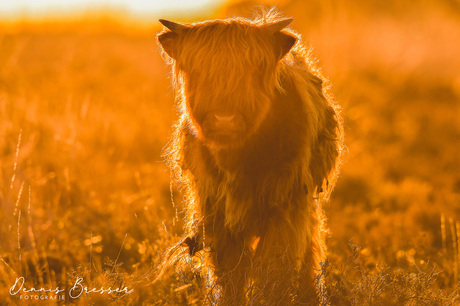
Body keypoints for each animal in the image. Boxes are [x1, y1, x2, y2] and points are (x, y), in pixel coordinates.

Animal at [158, 9, 342, 304]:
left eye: (255, 69)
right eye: (198, 69)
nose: (224, 120)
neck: (240, 160)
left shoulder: (285, 208)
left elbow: (275, 267)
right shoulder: (216, 212)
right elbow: (230, 271)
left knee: (309, 251)